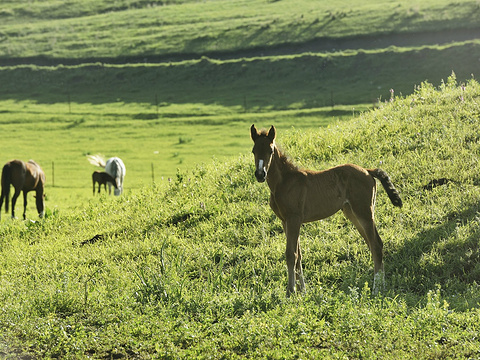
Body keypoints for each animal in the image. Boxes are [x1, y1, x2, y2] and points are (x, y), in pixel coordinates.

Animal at [249, 124, 404, 296]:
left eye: (270, 151)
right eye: (254, 151)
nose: (260, 174)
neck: (285, 182)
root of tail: (367, 170)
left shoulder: (294, 219)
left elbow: (291, 254)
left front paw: (291, 291)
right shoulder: (285, 221)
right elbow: (299, 255)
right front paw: (302, 291)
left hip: (364, 212)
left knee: (376, 245)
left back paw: (376, 289)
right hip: (352, 213)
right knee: (373, 243)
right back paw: (381, 286)